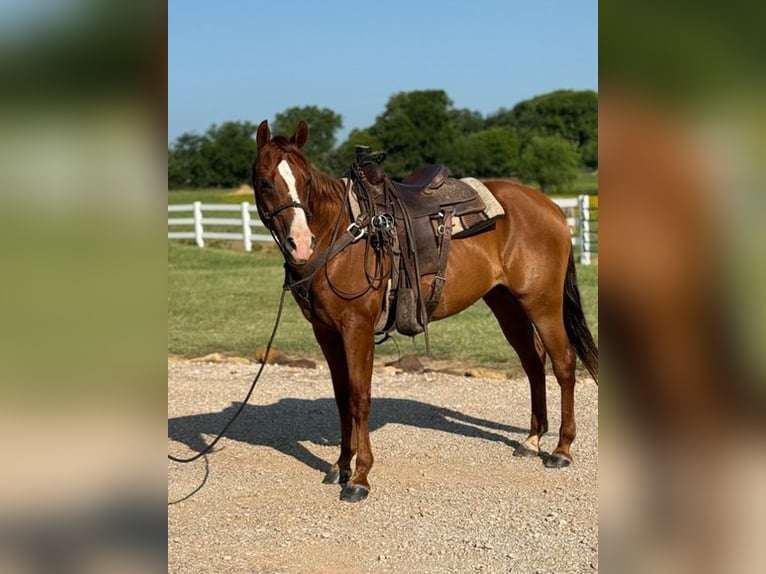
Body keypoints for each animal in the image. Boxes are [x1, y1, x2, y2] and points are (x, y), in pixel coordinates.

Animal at [253, 120, 598, 502]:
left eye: (306, 181)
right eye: (265, 182)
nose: (301, 244)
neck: (342, 233)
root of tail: (551, 207)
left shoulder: (357, 328)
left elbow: (359, 398)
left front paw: (360, 477)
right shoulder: (325, 332)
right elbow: (342, 398)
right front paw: (341, 465)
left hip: (543, 303)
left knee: (563, 363)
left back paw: (562, 449)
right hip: (506, 303)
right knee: (534, 363)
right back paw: (532, 439)